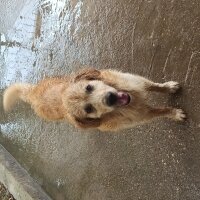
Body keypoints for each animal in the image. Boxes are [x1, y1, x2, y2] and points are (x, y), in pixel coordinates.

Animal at [2, 68, 186, 132]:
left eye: (89, 87)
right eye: (88, 109)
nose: (110, 98)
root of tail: (32, 94)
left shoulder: (137, 82)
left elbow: (154, 86)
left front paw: (169, 87)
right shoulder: (144, 115)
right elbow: (161, 111)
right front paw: (175, 114)